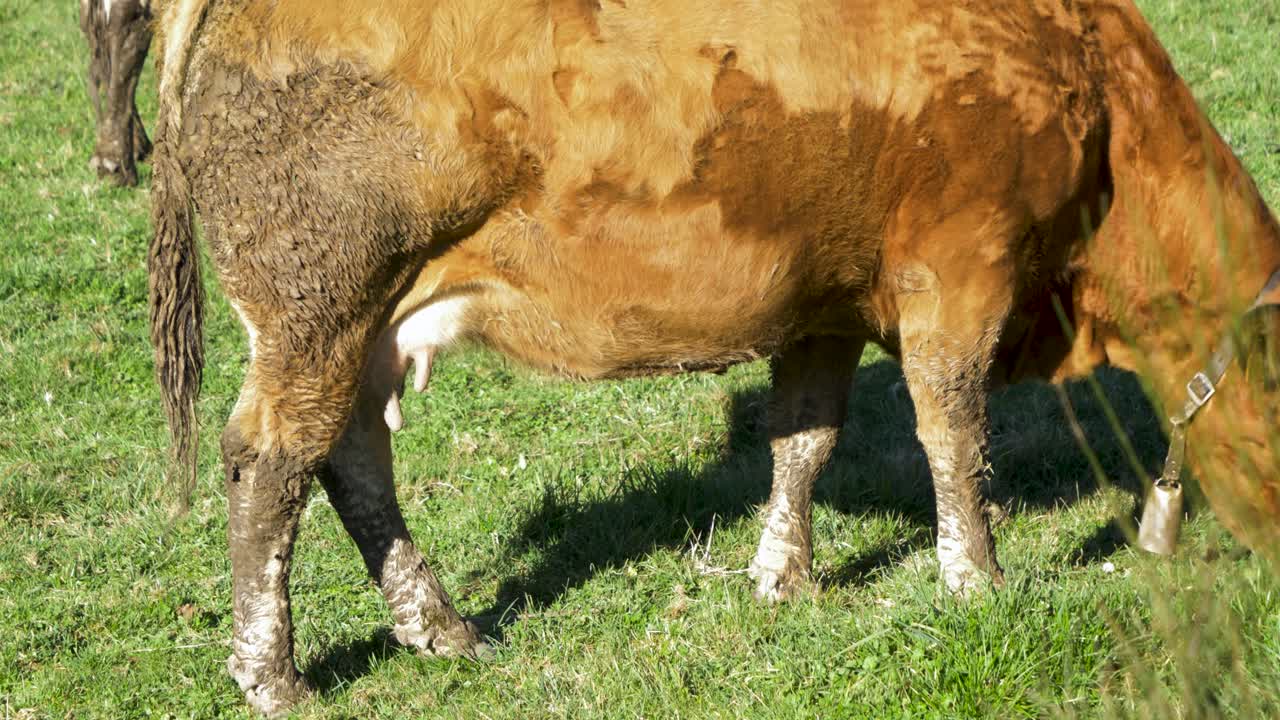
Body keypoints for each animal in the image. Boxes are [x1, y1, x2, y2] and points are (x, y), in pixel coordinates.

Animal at [147, 0, 1280, 715]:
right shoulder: (960, 269)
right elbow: (954, 435)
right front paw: (978, 580)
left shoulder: (826, 295)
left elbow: (806, 440)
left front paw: (783, 576)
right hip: (317, 302)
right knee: (271, 466)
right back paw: (275, 677)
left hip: (357, 322)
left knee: (350, 462)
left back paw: (441, 627)